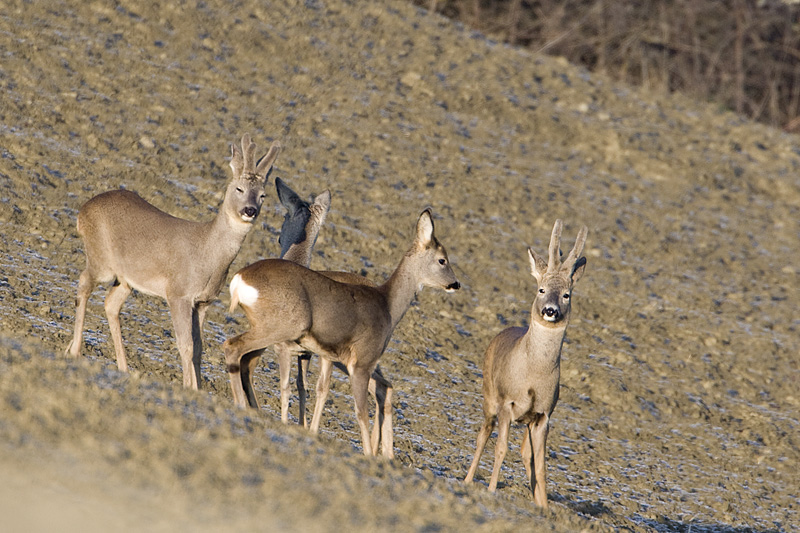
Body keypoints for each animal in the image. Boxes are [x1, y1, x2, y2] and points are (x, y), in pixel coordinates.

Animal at [64, 133, 282, 388]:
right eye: (239, 188)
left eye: (263, 195)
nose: (250, 210)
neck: (207, 253)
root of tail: (82, 211)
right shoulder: (178, 293)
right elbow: (185, 345)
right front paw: (188, 387)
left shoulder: (203, 301)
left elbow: (198, 349)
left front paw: (198, 390)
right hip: (101, 260)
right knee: (83, 283)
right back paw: (75, 351)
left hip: (125, 278)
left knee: (110, 304)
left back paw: (123, 368)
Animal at [225, 208, 462, 454]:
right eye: (442, 260)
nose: (456, 284)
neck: (387, 305)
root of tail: (239, 280)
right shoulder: (362, 362)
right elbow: (361, 411)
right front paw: (367, 454)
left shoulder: (332, 355)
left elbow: (322, 389)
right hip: (283, 326)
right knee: (233, 347)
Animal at [236, 177, 396, 456]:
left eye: (285, 217)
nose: (279, 237)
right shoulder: (305, 354)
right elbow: (302, 386)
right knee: (384, 388)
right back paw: (383, 453)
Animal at [462, 219, 588, 508]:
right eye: (541, 289)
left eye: (566, 295)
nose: (550, 310)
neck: (533, 374)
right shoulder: (507, 403)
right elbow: (500, 449)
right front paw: (490, 491)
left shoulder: (543, 415)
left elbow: (539, 464)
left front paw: (544, 507)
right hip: (489, 396)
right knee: (483, 434)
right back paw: (467, 481)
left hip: (526, 421)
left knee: (524, 452)